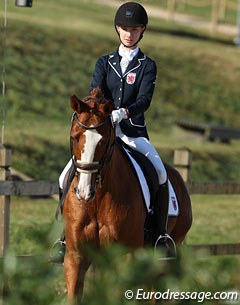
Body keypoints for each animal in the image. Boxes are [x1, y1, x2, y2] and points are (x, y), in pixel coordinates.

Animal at [62, 86, 192, 302]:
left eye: (104, 141)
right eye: (74, 137)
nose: (84, 192)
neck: (97, 200)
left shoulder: (124, 258)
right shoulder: (76, 256)